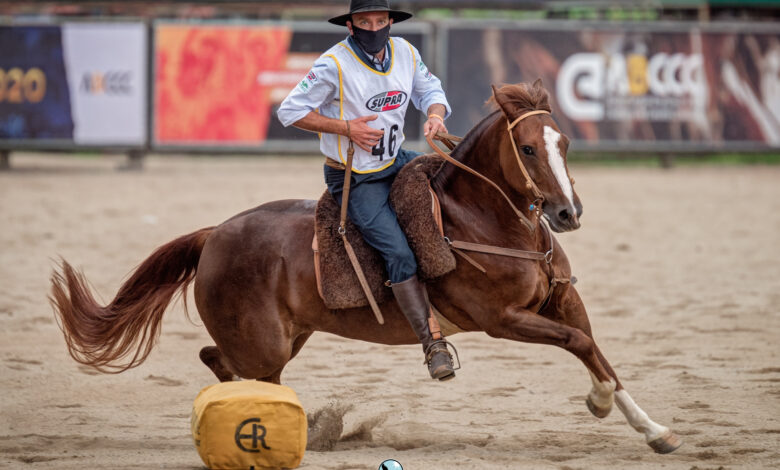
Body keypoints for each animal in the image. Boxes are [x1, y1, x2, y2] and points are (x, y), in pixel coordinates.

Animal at [50, 81, 684, 456]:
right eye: (527, 149)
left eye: (565, 143)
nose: (567, 213)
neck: (485, 220)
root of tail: (213, 235)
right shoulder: (502, 319)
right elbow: (580, 344)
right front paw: (599, 404)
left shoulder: (562, 299)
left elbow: (598, 352)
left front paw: (652, 429)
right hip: (264, 343)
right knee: (233, 367)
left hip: (288, 337)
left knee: (228, 365)